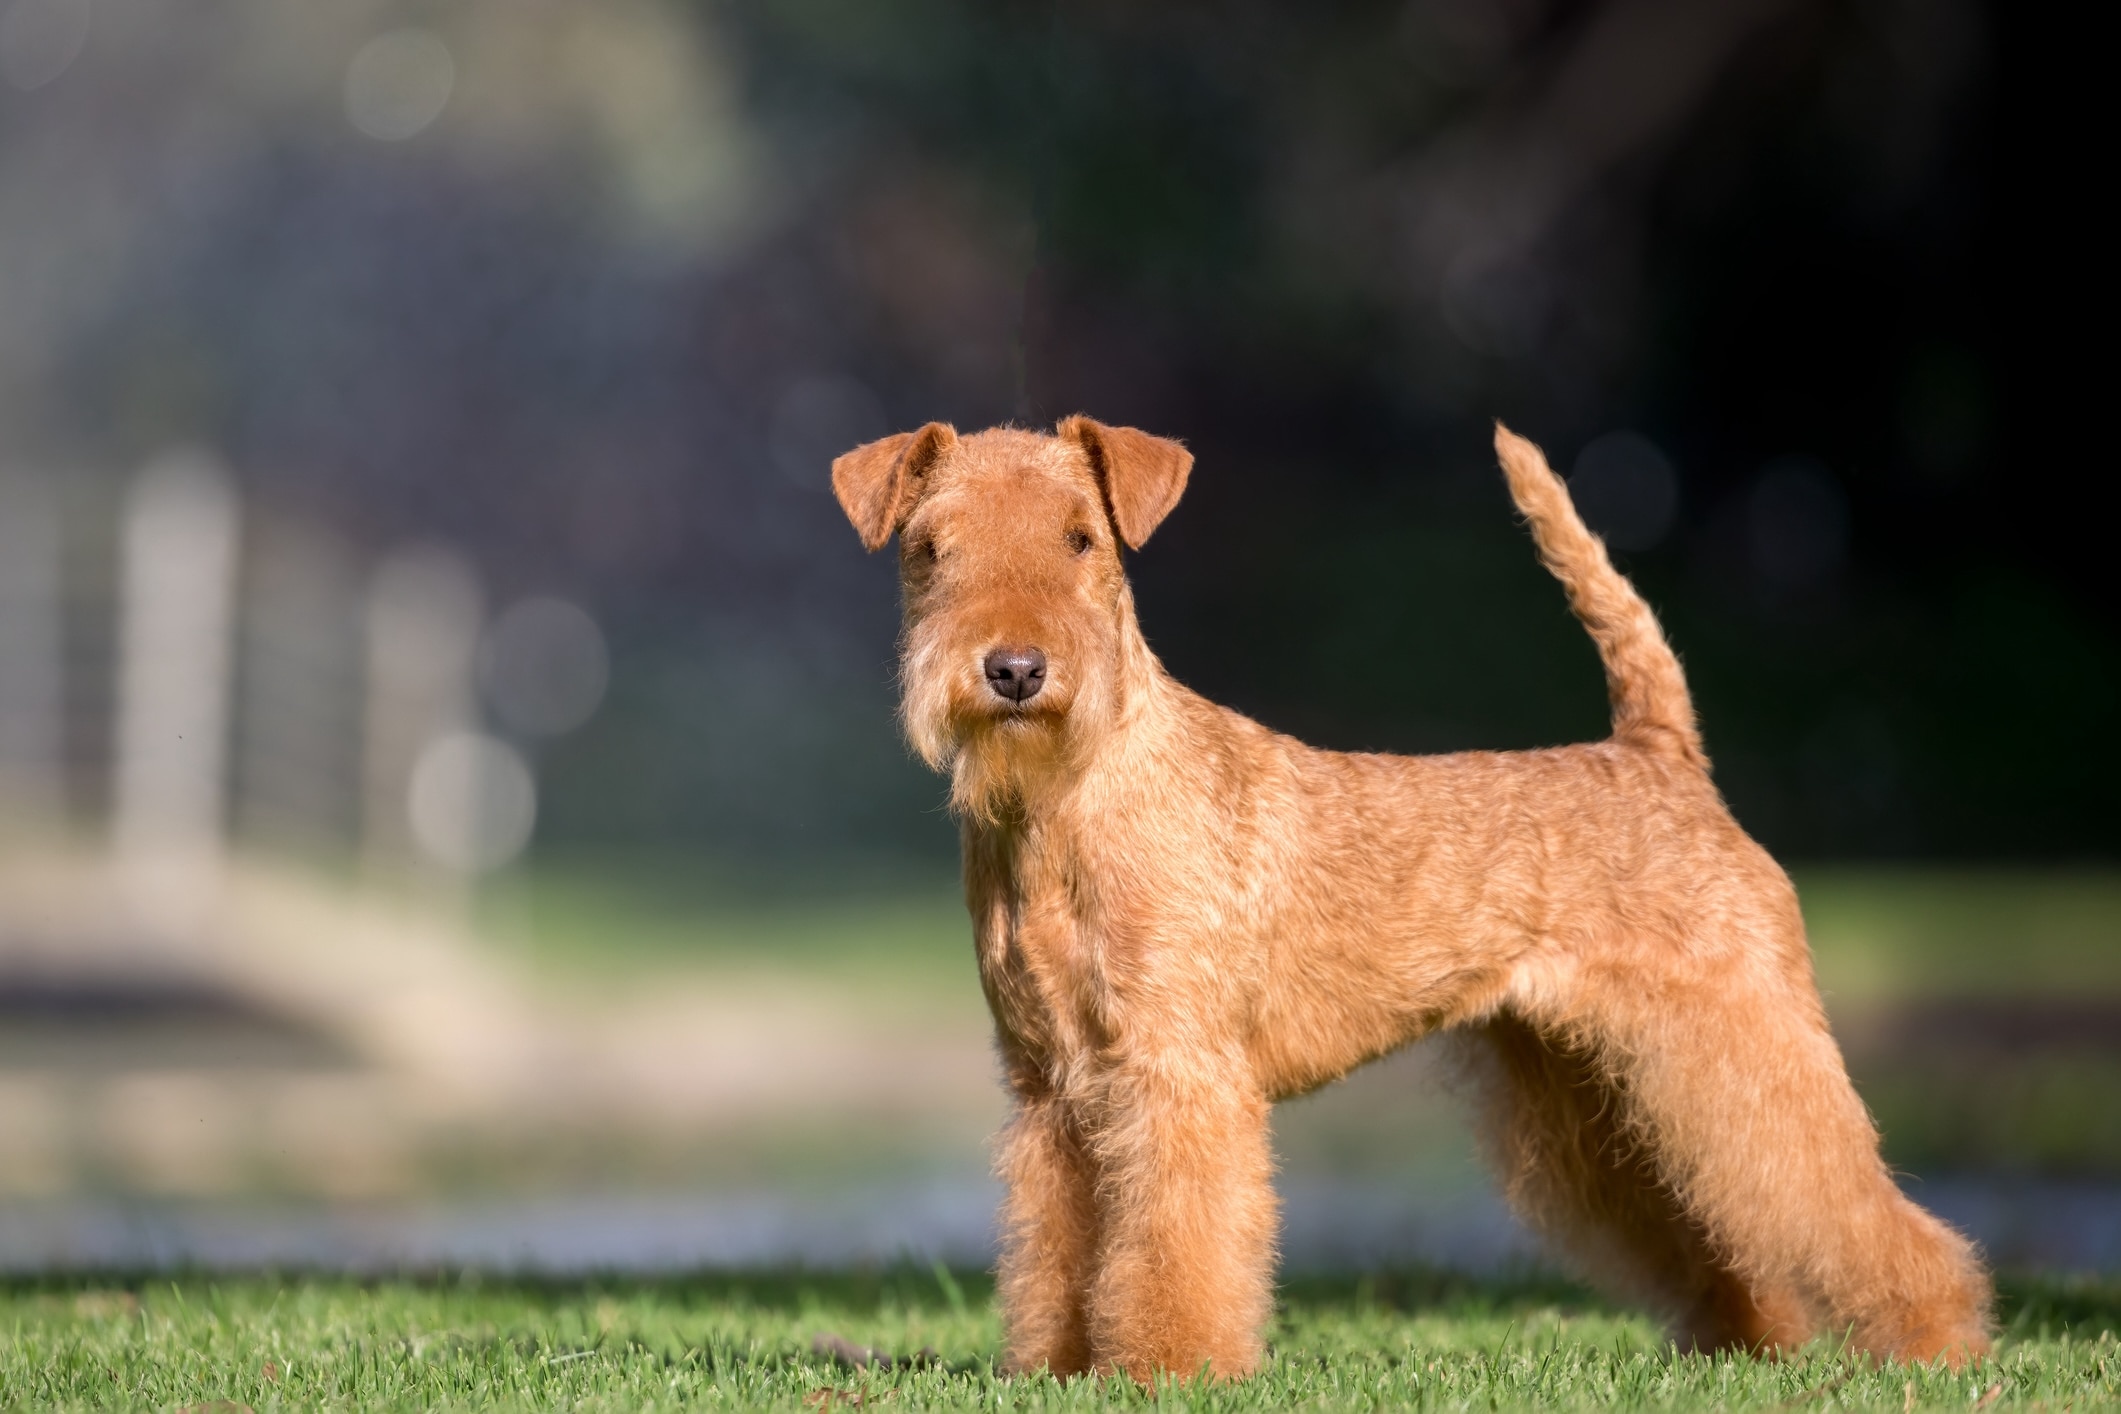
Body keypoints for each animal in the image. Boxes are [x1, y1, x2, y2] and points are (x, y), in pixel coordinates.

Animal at [822, 411, 1985, 1382]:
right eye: (931, 546)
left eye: (1080, 540)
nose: (1015, 670)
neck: (1067, 802)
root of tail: (1660, 753)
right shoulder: (1051, 1091)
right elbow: (1060, 1248)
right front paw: (1062, 1368)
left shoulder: (1174, 1077)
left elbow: (1170, 1246)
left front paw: (1165, 1369)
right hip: (1598, 1085)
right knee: (1716, 1229)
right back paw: (1746, 1343)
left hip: (1737, 1042)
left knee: (1851, 1205)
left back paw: (1937, 1341)